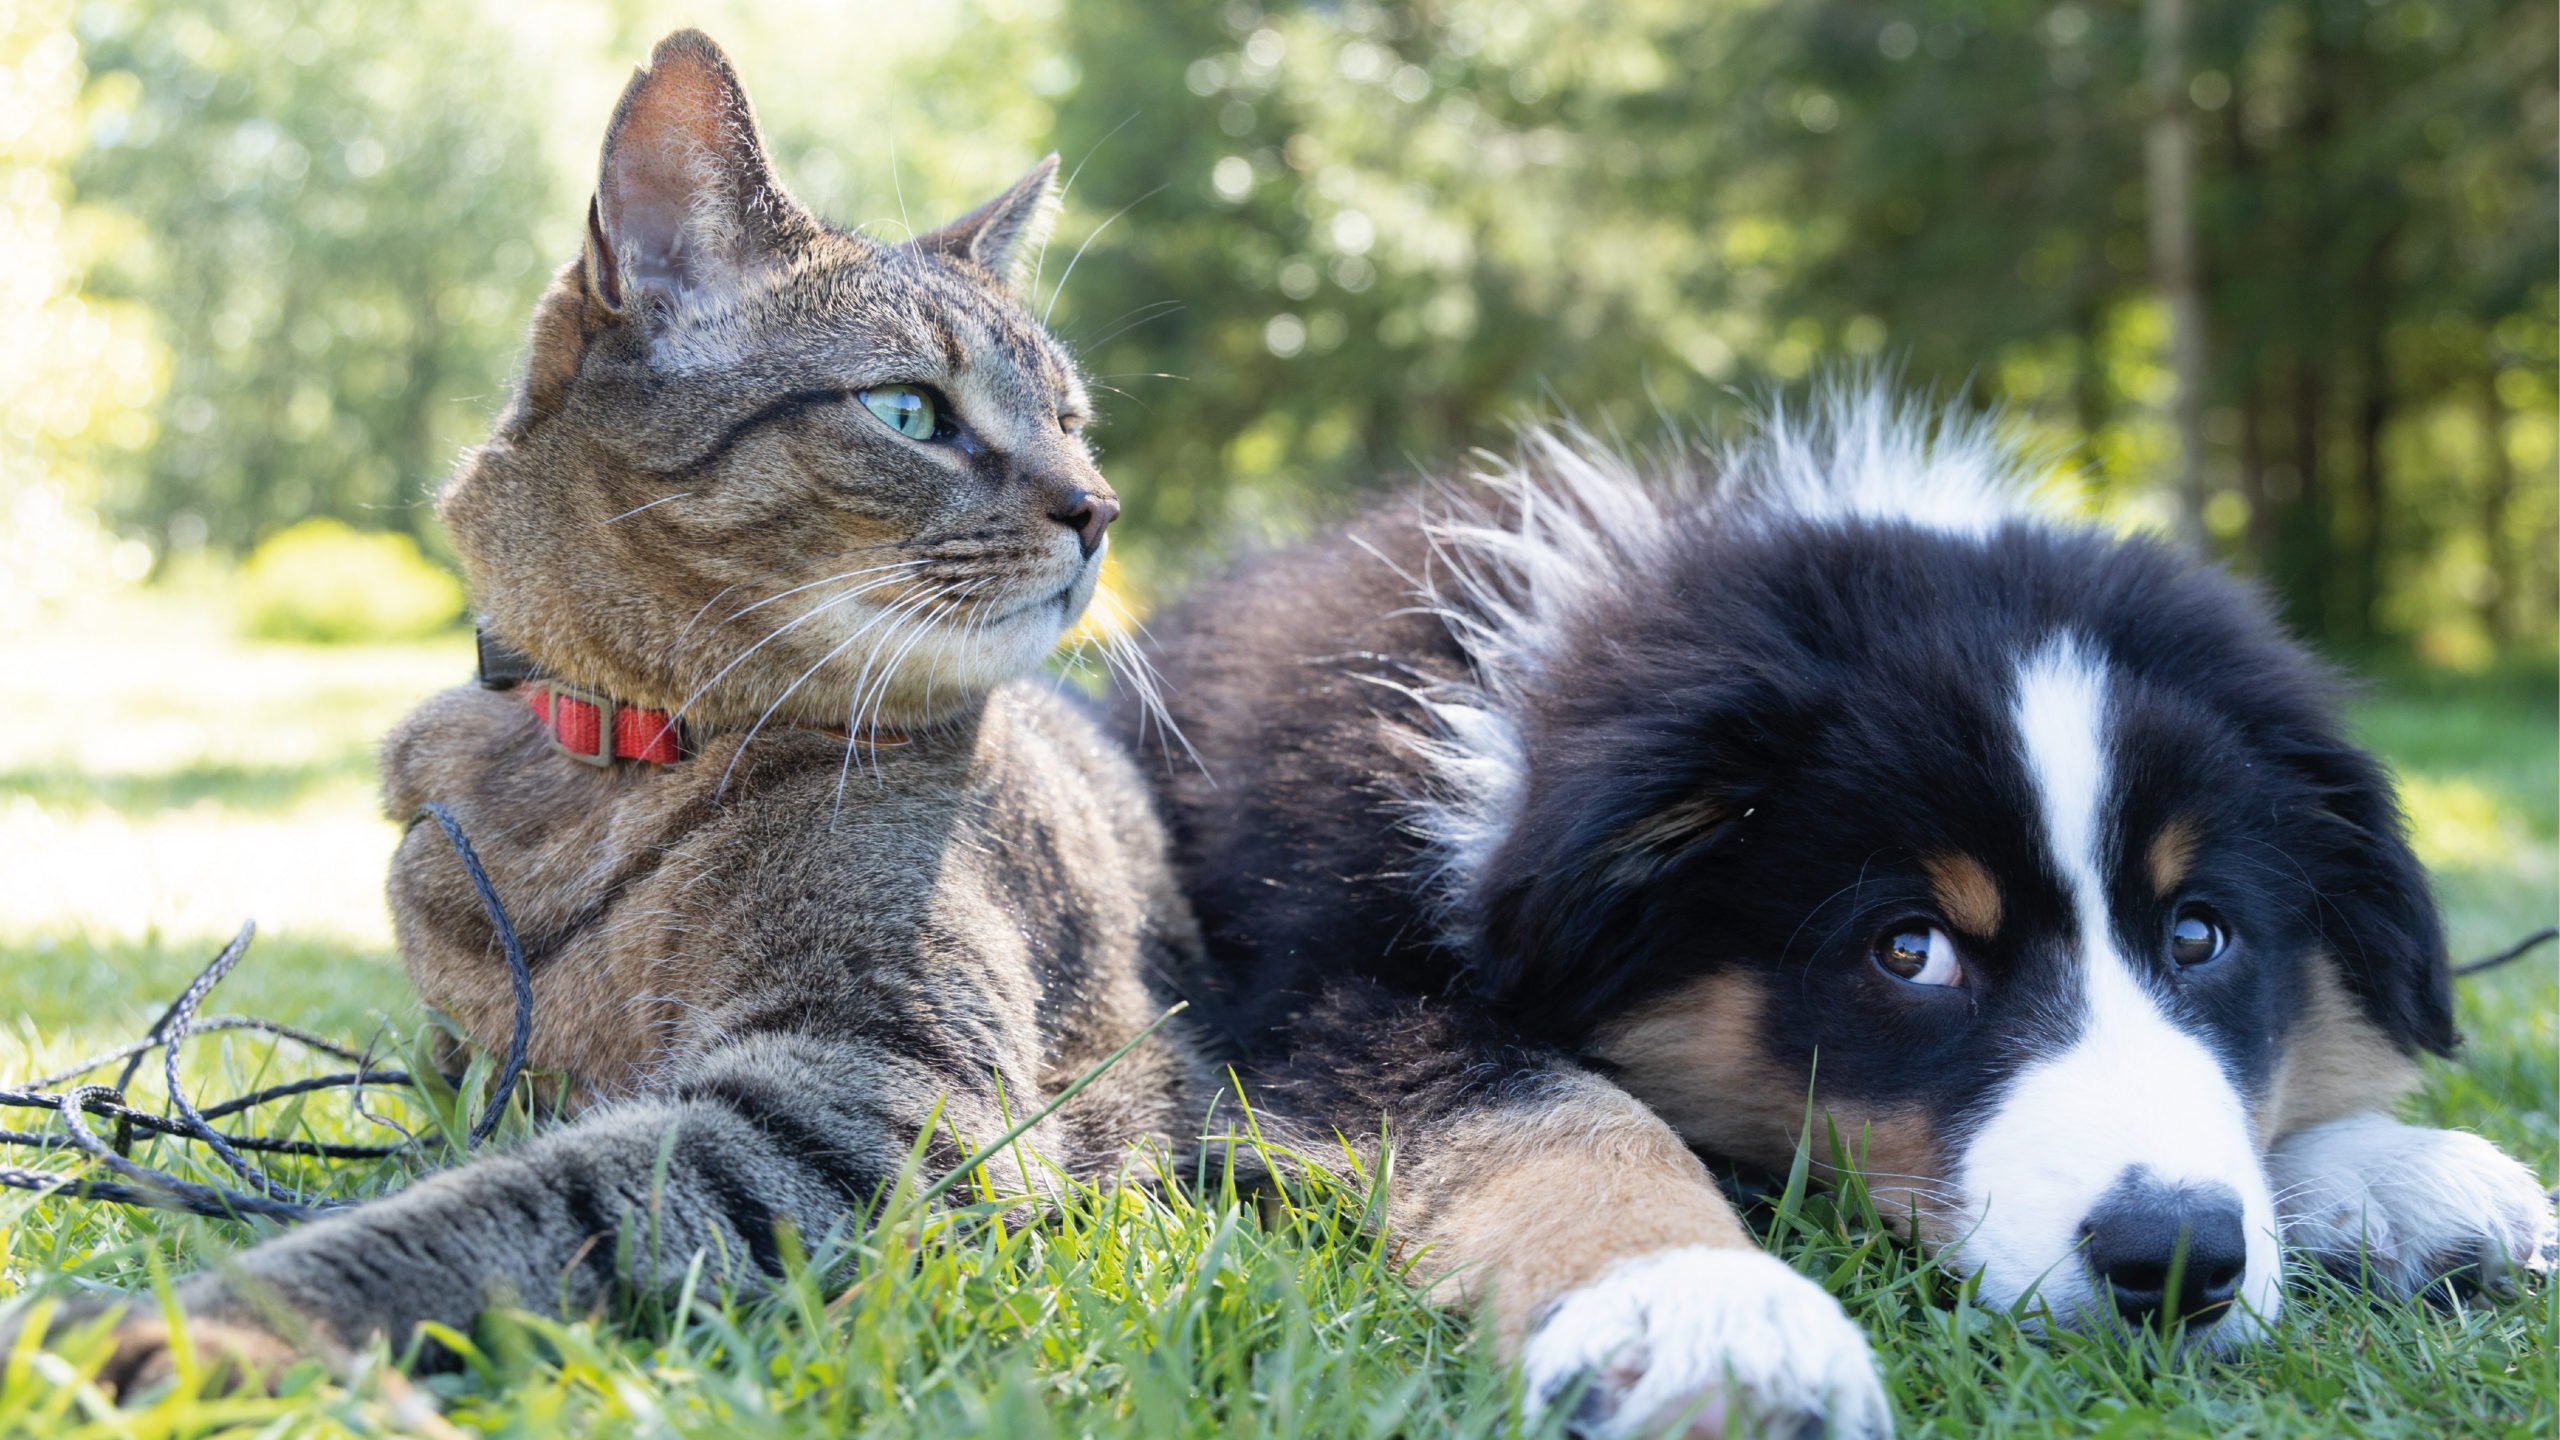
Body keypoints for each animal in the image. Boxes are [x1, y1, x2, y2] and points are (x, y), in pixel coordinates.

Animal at [1131, 389, 2549, 1434]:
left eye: (2199, 933)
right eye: (1908, 951)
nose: (2175, 1262)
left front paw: (2389, 1174)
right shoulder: (1317, 995)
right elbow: (1557, 1113)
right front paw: (1701, 1313)